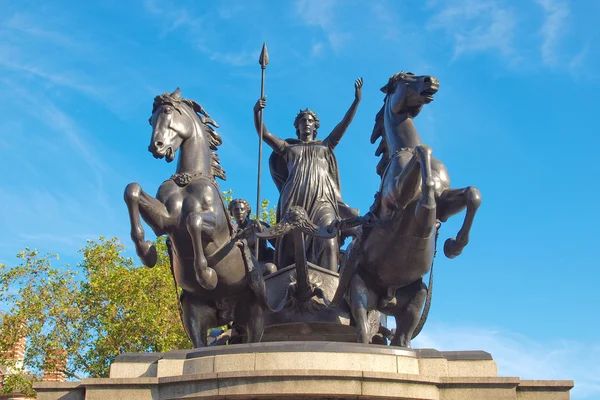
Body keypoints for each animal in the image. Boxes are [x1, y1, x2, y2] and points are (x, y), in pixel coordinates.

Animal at [124, 88, 264, 346]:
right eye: (150, 120)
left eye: (167, 112)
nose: (155, 147)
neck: (187, 179)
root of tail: (227, 313)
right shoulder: (166, 221)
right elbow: (133, 190)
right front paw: (147, 251)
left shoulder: (217, 230)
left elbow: (193, 222)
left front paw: (207, 275)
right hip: (193, 315)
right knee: (199, 343)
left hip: (255, 315)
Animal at [332, 72, 482, 346]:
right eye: (404, 79)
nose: (431, 80)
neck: (405, 148)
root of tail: (386, 299)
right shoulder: (397, 196)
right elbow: (425, 154)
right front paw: (427, 208)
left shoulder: (446, 203)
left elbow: (472, 194)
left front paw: (453, 246)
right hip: (358, 293)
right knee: (364, 333)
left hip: (415, 300)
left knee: (402, 340)